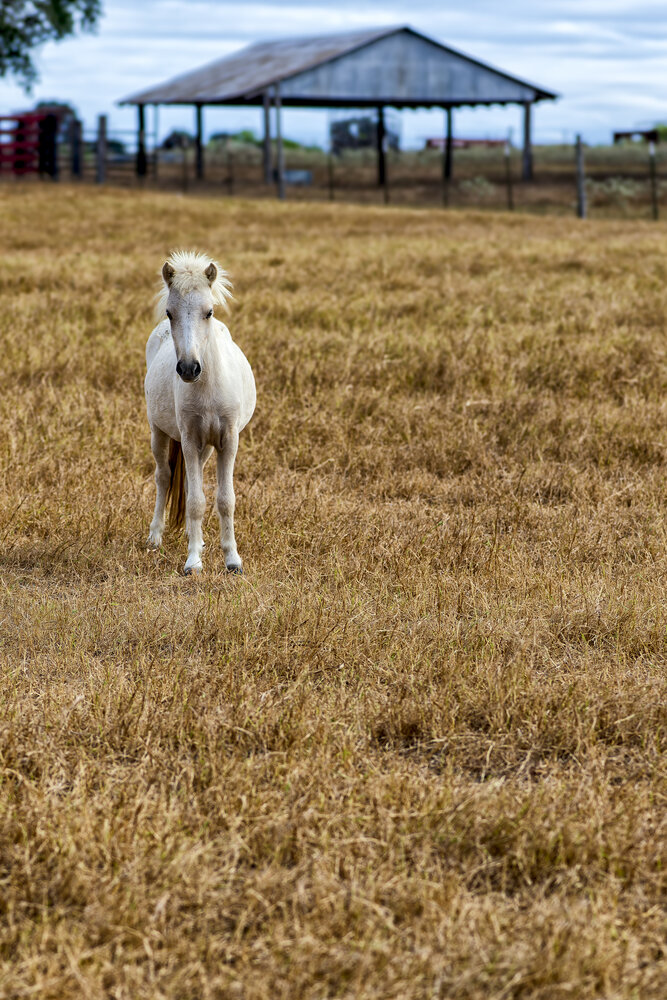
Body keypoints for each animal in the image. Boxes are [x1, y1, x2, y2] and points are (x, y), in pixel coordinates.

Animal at [145, 250, 256, 575]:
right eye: (169, 313)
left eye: (209, 312)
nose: (188, 369)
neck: (207, 388)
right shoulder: (190, 439)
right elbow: (195, 500)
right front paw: (193, 562)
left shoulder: (227, 441)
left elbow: (224, 499)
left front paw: (232, 560)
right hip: (159, 433)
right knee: (164, 477)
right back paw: (155, 537)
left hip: (207, 447)